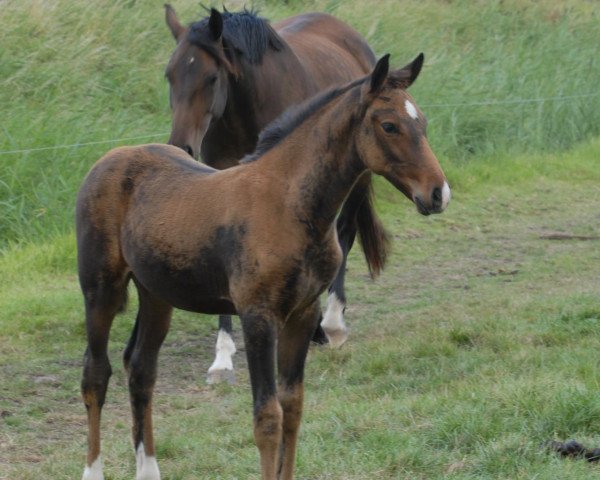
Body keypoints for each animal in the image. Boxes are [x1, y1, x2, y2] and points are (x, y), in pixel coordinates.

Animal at [76, 52, 450, 480]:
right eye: (389, 125)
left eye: (421, 121)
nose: (438, 193)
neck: (289, 203)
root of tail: (107, 161)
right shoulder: (258, 316)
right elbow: (267, 417)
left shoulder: (302, 314)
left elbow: (293, 407)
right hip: (100, 288)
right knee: (96, 373)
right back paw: (93, 470)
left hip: (157, 294)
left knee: (140, 370)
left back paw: (148, 470)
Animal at [165, 3, 390, 380]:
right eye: (170, 75)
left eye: (211, 78)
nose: (180, 146)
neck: (244, 111)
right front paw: (222, 355)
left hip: (355, 179)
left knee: (344, 234)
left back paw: (331, 324)